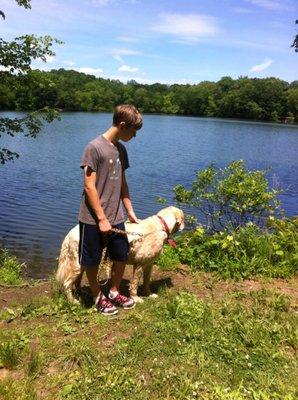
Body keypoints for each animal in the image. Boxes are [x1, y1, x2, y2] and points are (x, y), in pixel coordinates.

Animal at [56, 206, 184, 304]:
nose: (185, 225)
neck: (161, 226)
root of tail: (69, 233)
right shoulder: (139, 264)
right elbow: (134, 285)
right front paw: (136, 298)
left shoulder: (149, 264)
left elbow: (146, 282)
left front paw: (148, 294)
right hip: (78, 265)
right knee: (67, 284)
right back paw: (73, 301)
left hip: (83, 264)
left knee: (77, 281)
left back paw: (82, 294)